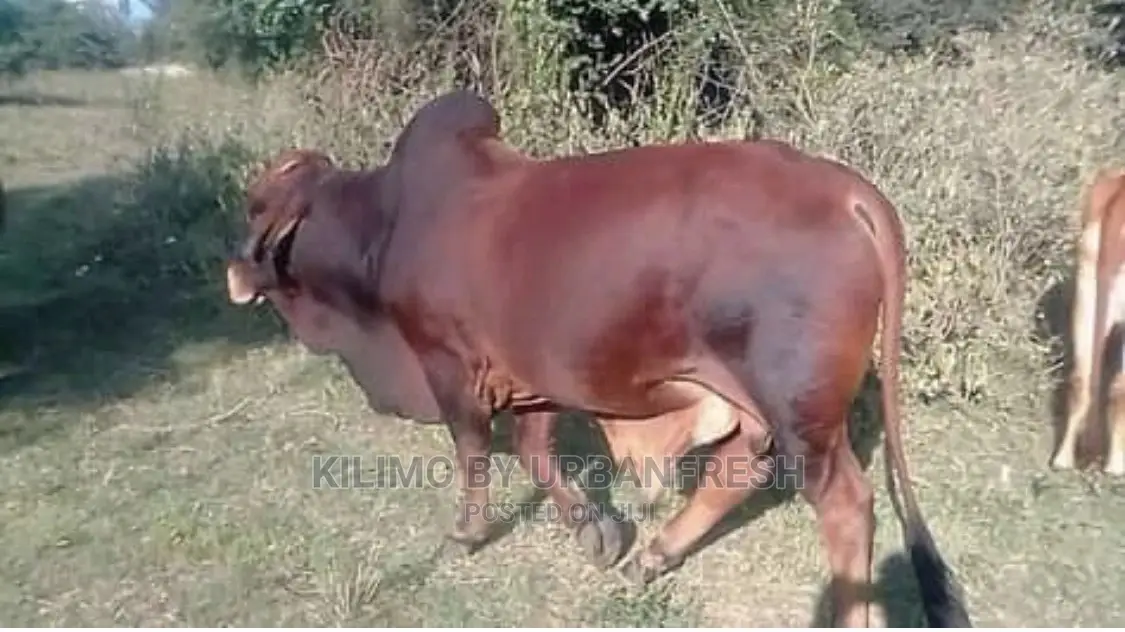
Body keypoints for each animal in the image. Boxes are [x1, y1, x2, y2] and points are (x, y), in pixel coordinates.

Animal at [224, 90, 971, 628]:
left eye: (256, 204)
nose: (233, 269)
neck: (384, 228)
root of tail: (846, 191)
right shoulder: (536, 377)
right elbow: (535, 450)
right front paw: (596, 529)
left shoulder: (450, 364)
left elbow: (472, 451)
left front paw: (466, 534)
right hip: (753, 399)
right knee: (738, 469)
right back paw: (653, 555)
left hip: (799, 410)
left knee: (844, 505)